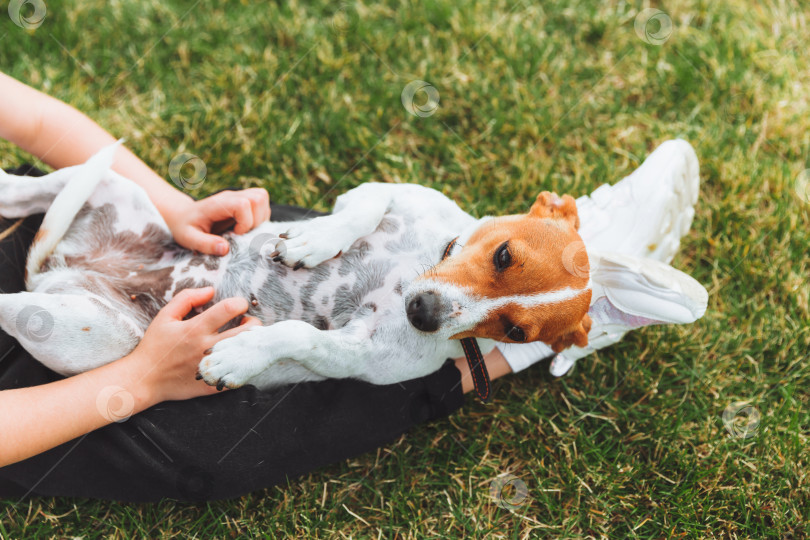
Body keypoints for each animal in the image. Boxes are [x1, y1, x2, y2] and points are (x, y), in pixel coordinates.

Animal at [0, 143, 592, 388]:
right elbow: (361, 209)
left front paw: (239, 357)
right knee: (32, 192)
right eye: (503, 253)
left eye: (515, 331)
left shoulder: (354, 354)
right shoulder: (381, 190)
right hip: (112, 187)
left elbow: (295, 335)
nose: (421, 313)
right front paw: (313, 242)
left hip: (88, 330)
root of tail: (55, 270)